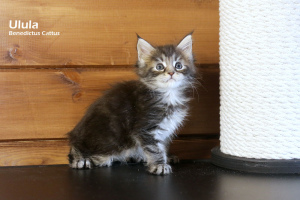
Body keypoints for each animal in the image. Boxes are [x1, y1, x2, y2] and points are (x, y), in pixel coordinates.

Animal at [69, 33, 198, 175]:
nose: (171, 73)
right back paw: (81, 160)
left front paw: (165, 158)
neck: (168, 95)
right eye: (159, 67)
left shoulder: (165, 131)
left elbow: (162, 147)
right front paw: (159, 165)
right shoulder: (145, 128)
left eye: (178, 65)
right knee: (76, 150)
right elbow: (154, 149)